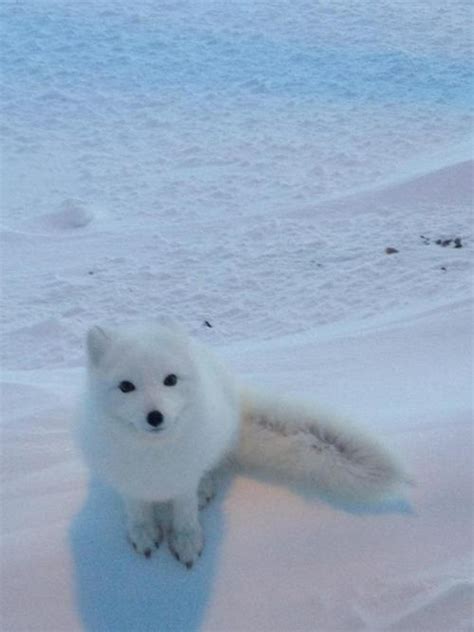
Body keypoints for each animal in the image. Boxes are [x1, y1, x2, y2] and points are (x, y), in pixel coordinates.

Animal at [78, 320, 408, 568]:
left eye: (170, 380)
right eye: (126, 386)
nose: (155, 416)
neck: (154, 455)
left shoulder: (184, 478)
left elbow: (185, 512)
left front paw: (187, 541)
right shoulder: (128, 481)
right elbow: (136, 510)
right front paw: (143, 533)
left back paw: (205, 488)